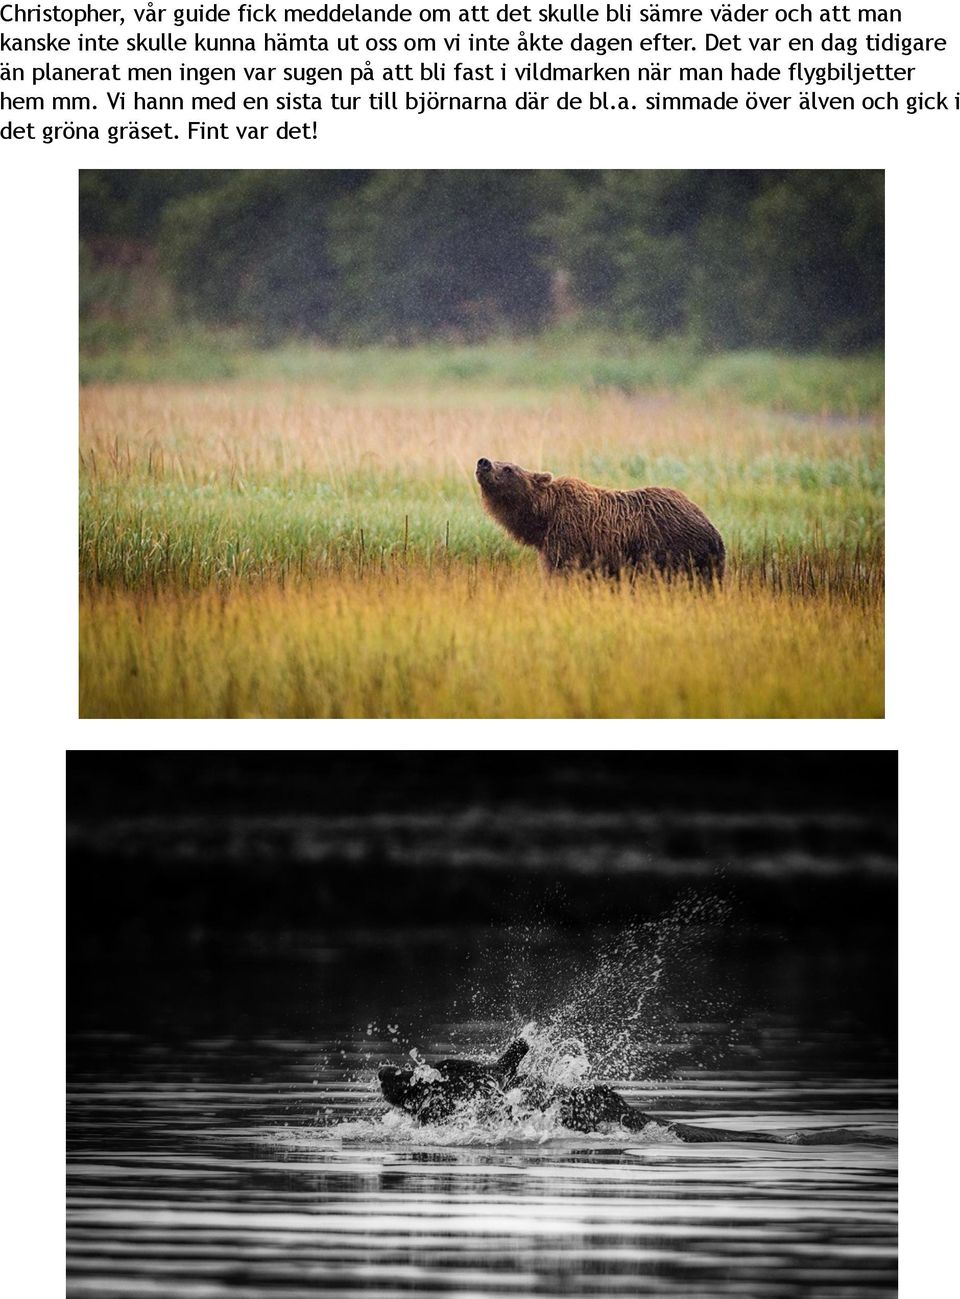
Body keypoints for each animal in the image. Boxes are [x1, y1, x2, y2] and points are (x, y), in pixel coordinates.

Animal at [478, 454, 722, 581]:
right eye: (500, 459)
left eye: (508, 468)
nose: (484, 462)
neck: (544, 518)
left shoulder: (568, 538)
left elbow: (563, 574)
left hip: (672, 552)